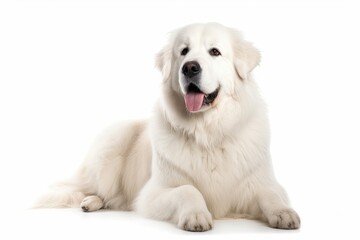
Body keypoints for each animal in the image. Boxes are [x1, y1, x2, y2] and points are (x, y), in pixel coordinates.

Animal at [36, 23, 300, 232]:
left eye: (215, 52)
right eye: (183, 52)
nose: (190, 67)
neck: (208, 133)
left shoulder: (257, 182)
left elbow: (272, 193)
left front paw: (284, 212)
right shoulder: (153, 193)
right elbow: (188, 189)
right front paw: (196, 215)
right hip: (112, 144)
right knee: (87, 189)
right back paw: (90, 201)